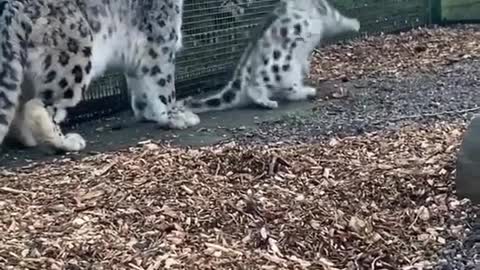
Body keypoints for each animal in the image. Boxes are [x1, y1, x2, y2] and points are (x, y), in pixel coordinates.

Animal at [0, 0, 199, 152]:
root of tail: (12, 6)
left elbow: (141, 88)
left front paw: (148, 113)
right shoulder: (161, 41)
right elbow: (164, 86)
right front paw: (175, 116)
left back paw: (25, 139)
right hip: (73, 62)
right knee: (39, 106)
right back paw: (66, 142)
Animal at [180, 0, 360, 113]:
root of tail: (245, 66)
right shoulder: (327, 11)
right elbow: (338, 18)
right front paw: (355, 23)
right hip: (284, 68)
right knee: (265, 88)